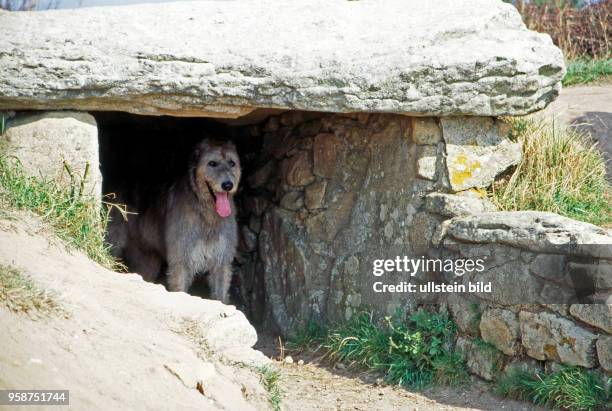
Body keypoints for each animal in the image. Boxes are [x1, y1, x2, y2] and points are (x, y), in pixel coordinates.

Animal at [109, 140, 243, 304]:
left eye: (232, 163)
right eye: (212, 163)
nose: (228, 185)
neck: (207, 215)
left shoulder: (221, 262)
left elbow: (221, 296)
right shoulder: (181, 262)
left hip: (147, 258)